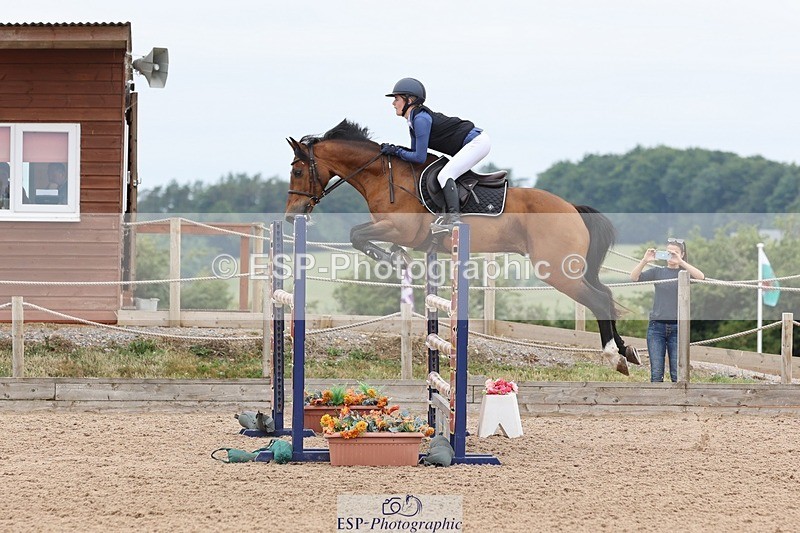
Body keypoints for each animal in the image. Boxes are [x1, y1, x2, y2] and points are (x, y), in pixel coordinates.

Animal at [283, 119, 638, 374]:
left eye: (298, 170)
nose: (291, 216)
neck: (383, 175)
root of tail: (572, 209)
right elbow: (362, 236)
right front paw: (396, 258)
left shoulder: (401, 229)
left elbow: (357, 234)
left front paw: (393, 259)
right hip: (571, 267)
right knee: (606, 294)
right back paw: (627, 351)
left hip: (556, 270)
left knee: (597, 300)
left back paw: (613, 355)